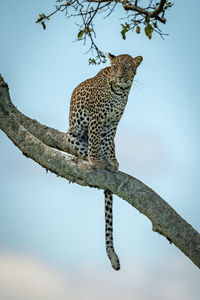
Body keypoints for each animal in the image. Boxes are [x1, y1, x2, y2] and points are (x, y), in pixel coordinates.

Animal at [66, 52, 143, 270]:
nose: (121, 76)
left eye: (128, 67)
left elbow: (108, 142)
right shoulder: (97, 116)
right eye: (116, 67)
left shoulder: (112, 123)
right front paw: (96, 159)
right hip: (71, 135)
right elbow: (95, 138)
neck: (120, 93)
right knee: (82, 147)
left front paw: (110, 161)